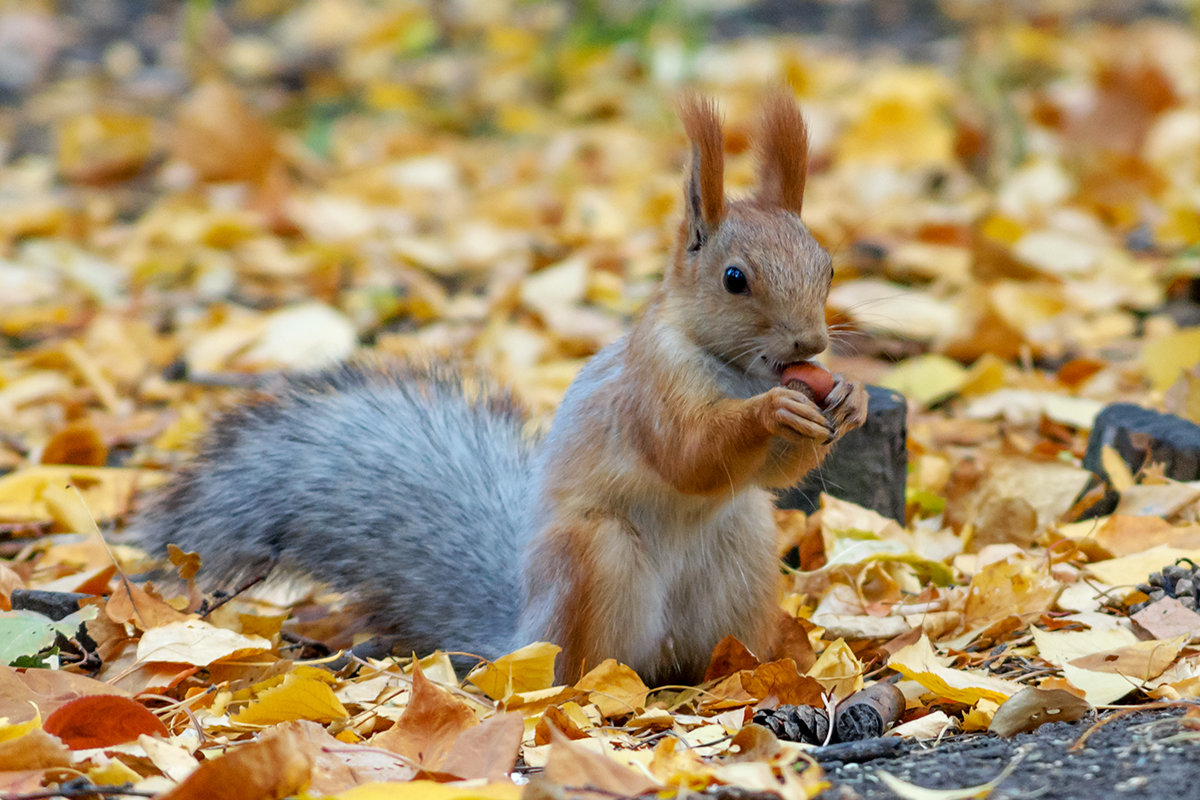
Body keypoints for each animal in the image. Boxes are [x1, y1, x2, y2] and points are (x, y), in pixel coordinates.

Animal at [131, 92, 868, 681]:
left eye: (827, 266)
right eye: (734, 278)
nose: (810, 345)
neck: (730, 367)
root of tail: (520, 638)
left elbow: (769, 472)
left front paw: (850, 401)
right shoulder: (648, 390)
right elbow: (688, 454)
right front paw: (772, 411)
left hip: (745, 553)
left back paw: (747, 671)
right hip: (596, 560)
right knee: (586, 666)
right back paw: (596, 691)